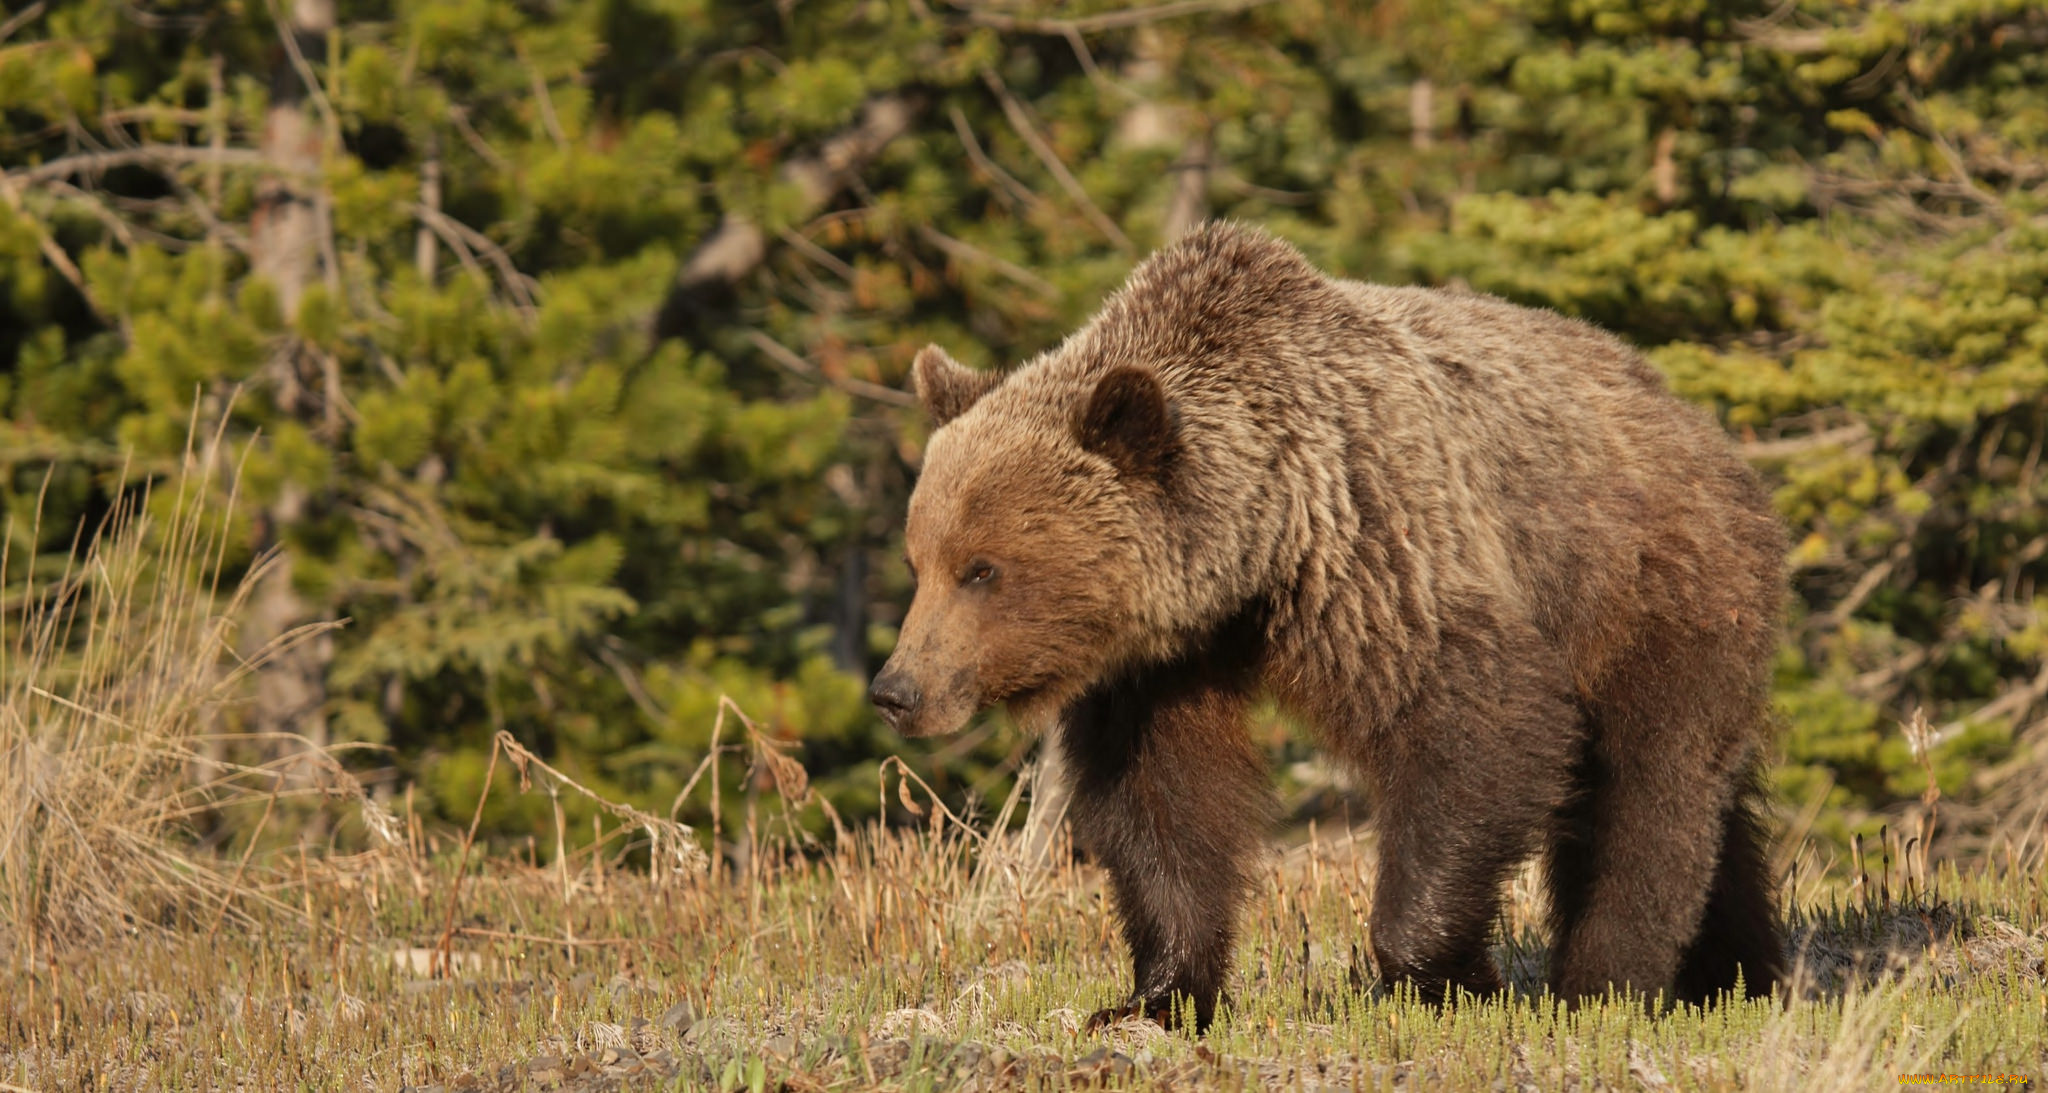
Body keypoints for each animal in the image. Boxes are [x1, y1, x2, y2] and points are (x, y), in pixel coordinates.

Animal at [872, 225, 1785, 1035]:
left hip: (1649, 592)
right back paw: (1736, 972)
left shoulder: (1377, 541)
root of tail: (1706, 429)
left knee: (1650, 787)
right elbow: (1162, 802)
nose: (897, 689)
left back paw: (1606, 983)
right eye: (920, 560)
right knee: (1714, 811)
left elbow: (1476, 719)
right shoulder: (1162, 662)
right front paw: (1154, 996)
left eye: (982, 568)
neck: (1258, 548)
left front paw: (1456, 977)